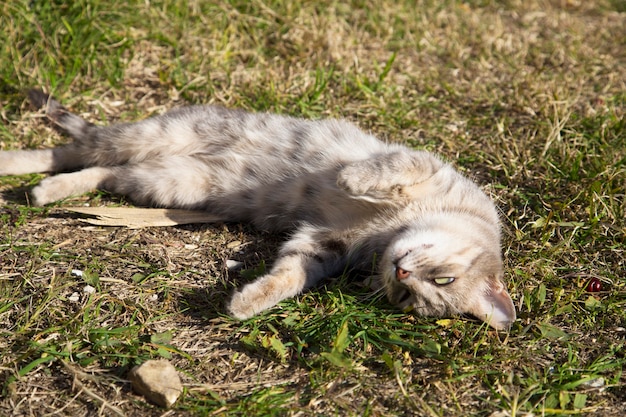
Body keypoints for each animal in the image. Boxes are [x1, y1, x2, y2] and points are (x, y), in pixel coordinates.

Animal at [1, 90, 516, 328]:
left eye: (410, 299)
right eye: (443, 280)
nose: (402, 274)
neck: (387, 232)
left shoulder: (322, 243)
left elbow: (289, 275)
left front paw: (247, 303)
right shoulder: (424, 165)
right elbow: (390, 167)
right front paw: (351, 179)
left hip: (166, 182)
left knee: (101, 171)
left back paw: (46, 190)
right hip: (149, 138)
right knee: (74, 149)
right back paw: (23, 172)